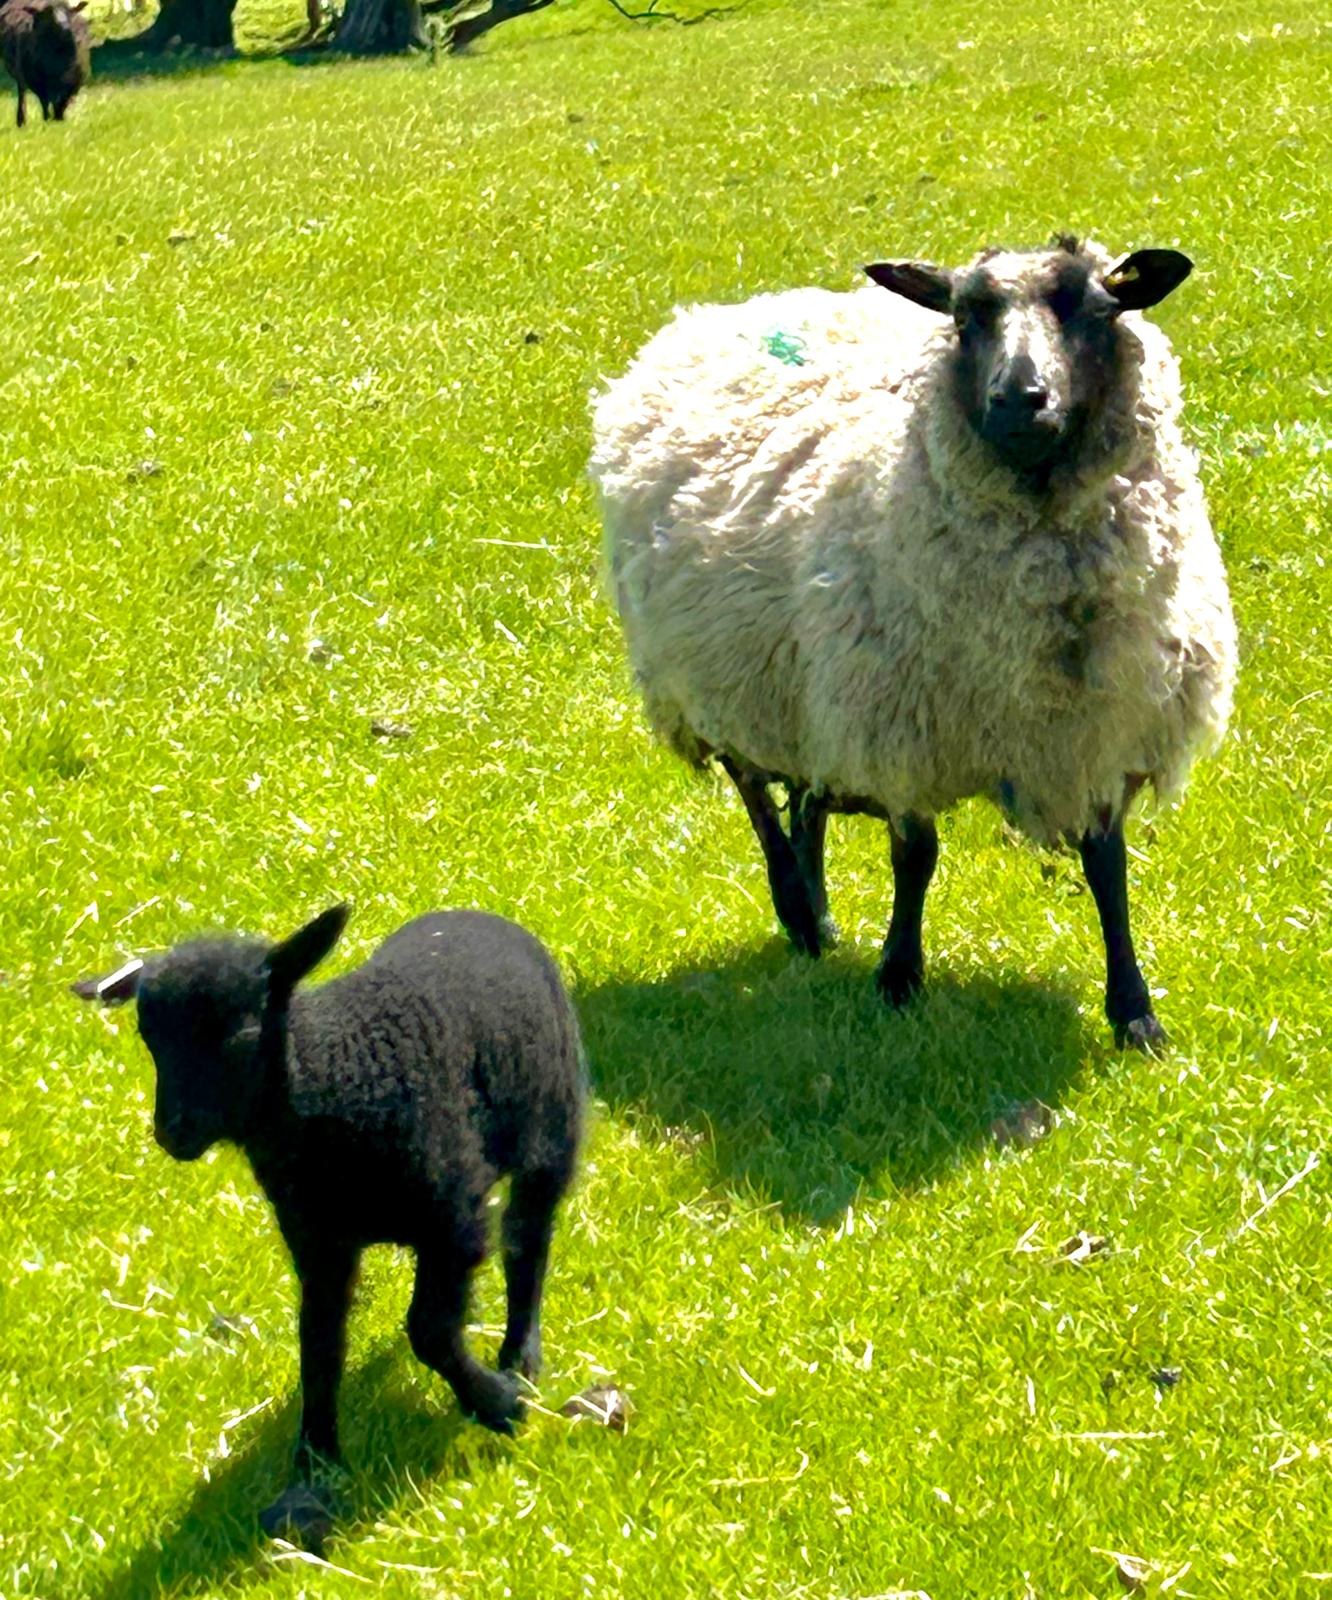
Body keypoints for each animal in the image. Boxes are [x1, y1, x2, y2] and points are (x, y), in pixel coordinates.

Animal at [0, 0, 89, 128]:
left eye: (69, 13)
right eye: (49, 15)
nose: (65, 28)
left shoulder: (74, 82)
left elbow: (62, 103)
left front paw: (59, 120)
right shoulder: (37, 81)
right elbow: (45, 102)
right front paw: (47, 120)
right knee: (22, 93)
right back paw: (22, 121)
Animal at [74, 904, 585, 1541]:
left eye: (239, 1037)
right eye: (150, 1038)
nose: (173, 1134)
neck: (336, 1081)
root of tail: (477, 914)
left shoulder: (453, 1219)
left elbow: (428, 1331)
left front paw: (497, 1404)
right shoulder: (317, 1241)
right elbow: (318, 1346)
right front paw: (314, 1466)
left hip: (551, 1129)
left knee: (528, 1241)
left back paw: (520, 1357)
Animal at [589, 236, 1236, 1050]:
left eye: (1095, 309)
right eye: (963, 319)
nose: (1018, 399)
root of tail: (726, 311)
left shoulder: (1100, 730)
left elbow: (1106, 866)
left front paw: (1135, 1012)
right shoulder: (899, 719)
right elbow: (916, 858)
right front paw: (898, 978)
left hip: (804, 682)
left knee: (806, 799)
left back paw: (818, 913)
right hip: (718, 680)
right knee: (759, 797)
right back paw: (799, 911)